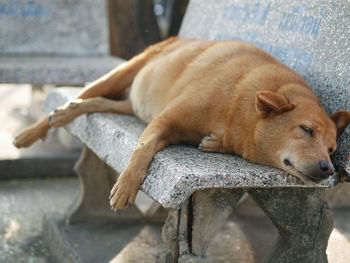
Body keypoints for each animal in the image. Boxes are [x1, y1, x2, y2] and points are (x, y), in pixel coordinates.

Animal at [13, 37, 350, 210]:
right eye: (306, 130)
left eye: (332, 148)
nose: (328, 169)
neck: (239, 102)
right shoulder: (167, 120)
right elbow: (142, 150)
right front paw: (126, 186)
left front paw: (214, 143)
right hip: (125, 72)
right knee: (82, 95)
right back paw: (35, 130)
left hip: (133, 103)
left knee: (96, 102)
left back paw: (71, 110)